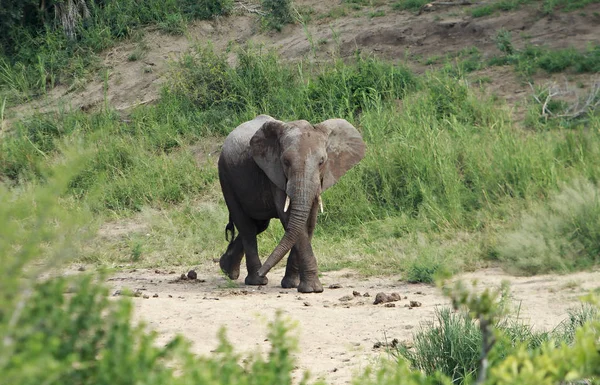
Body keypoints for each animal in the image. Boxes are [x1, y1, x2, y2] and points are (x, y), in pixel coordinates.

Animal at [217, 114, 366, 292]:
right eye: (286, 162)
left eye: (322, 162)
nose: (263, 271)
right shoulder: (275, 174)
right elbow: (289, 218)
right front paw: (312, 289)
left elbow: (309, 222)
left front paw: (292, 284)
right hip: (225, 176)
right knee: (246, 226)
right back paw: (257, 280)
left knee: (259, 225)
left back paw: (228, 269)